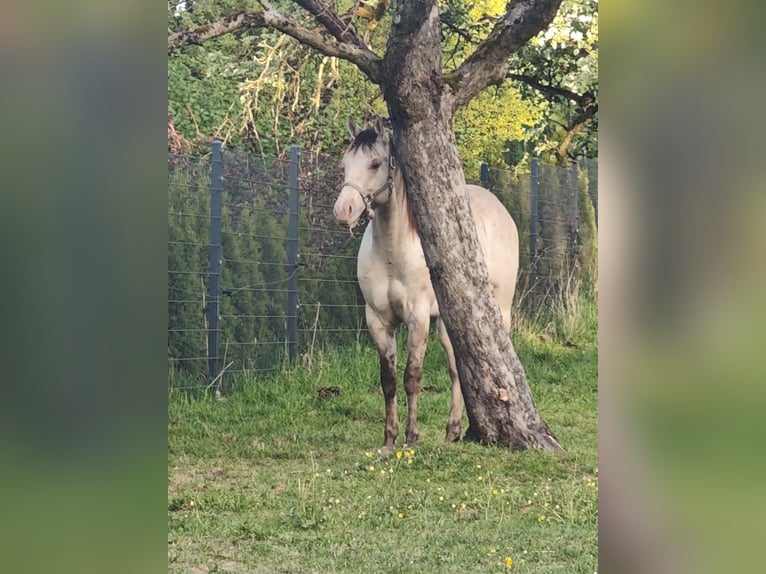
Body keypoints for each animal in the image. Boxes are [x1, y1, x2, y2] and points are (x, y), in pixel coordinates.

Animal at [333, 116, 519, 451]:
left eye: (375, 163)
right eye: (345, 164)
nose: (344, 211)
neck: (392, 252)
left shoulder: (417, 317)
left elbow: (412, 377)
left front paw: (411, 438)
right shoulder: (377, 319)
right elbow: (389, 381)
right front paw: (389, 440)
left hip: (499, 311)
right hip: (448, 322)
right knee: (457, 369)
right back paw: (452, 430)